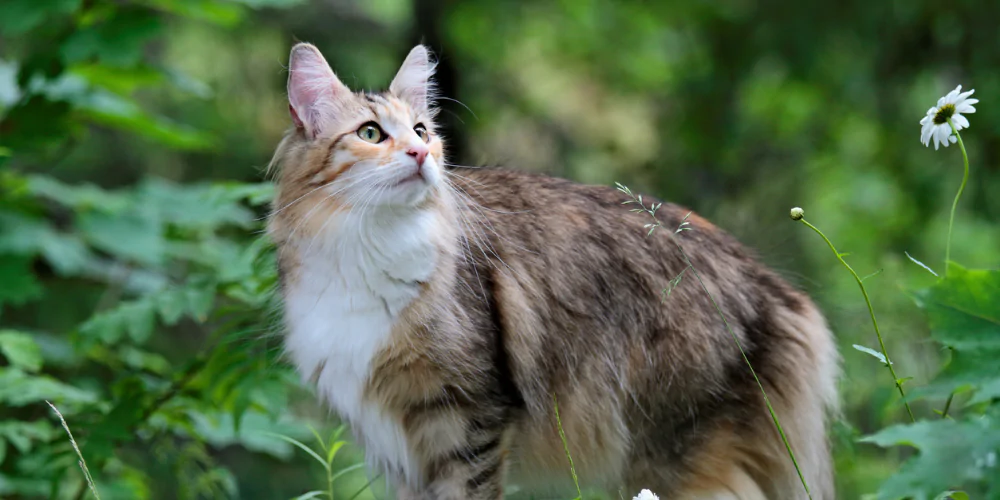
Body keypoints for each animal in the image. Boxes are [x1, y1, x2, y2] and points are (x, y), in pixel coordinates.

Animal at [266, 44, 836, 500]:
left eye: (422, 130)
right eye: (370, 133)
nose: (422, 151)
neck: (364, 249)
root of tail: (777, 288)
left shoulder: (467, 422)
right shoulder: (397, 447)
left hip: (674, 459)